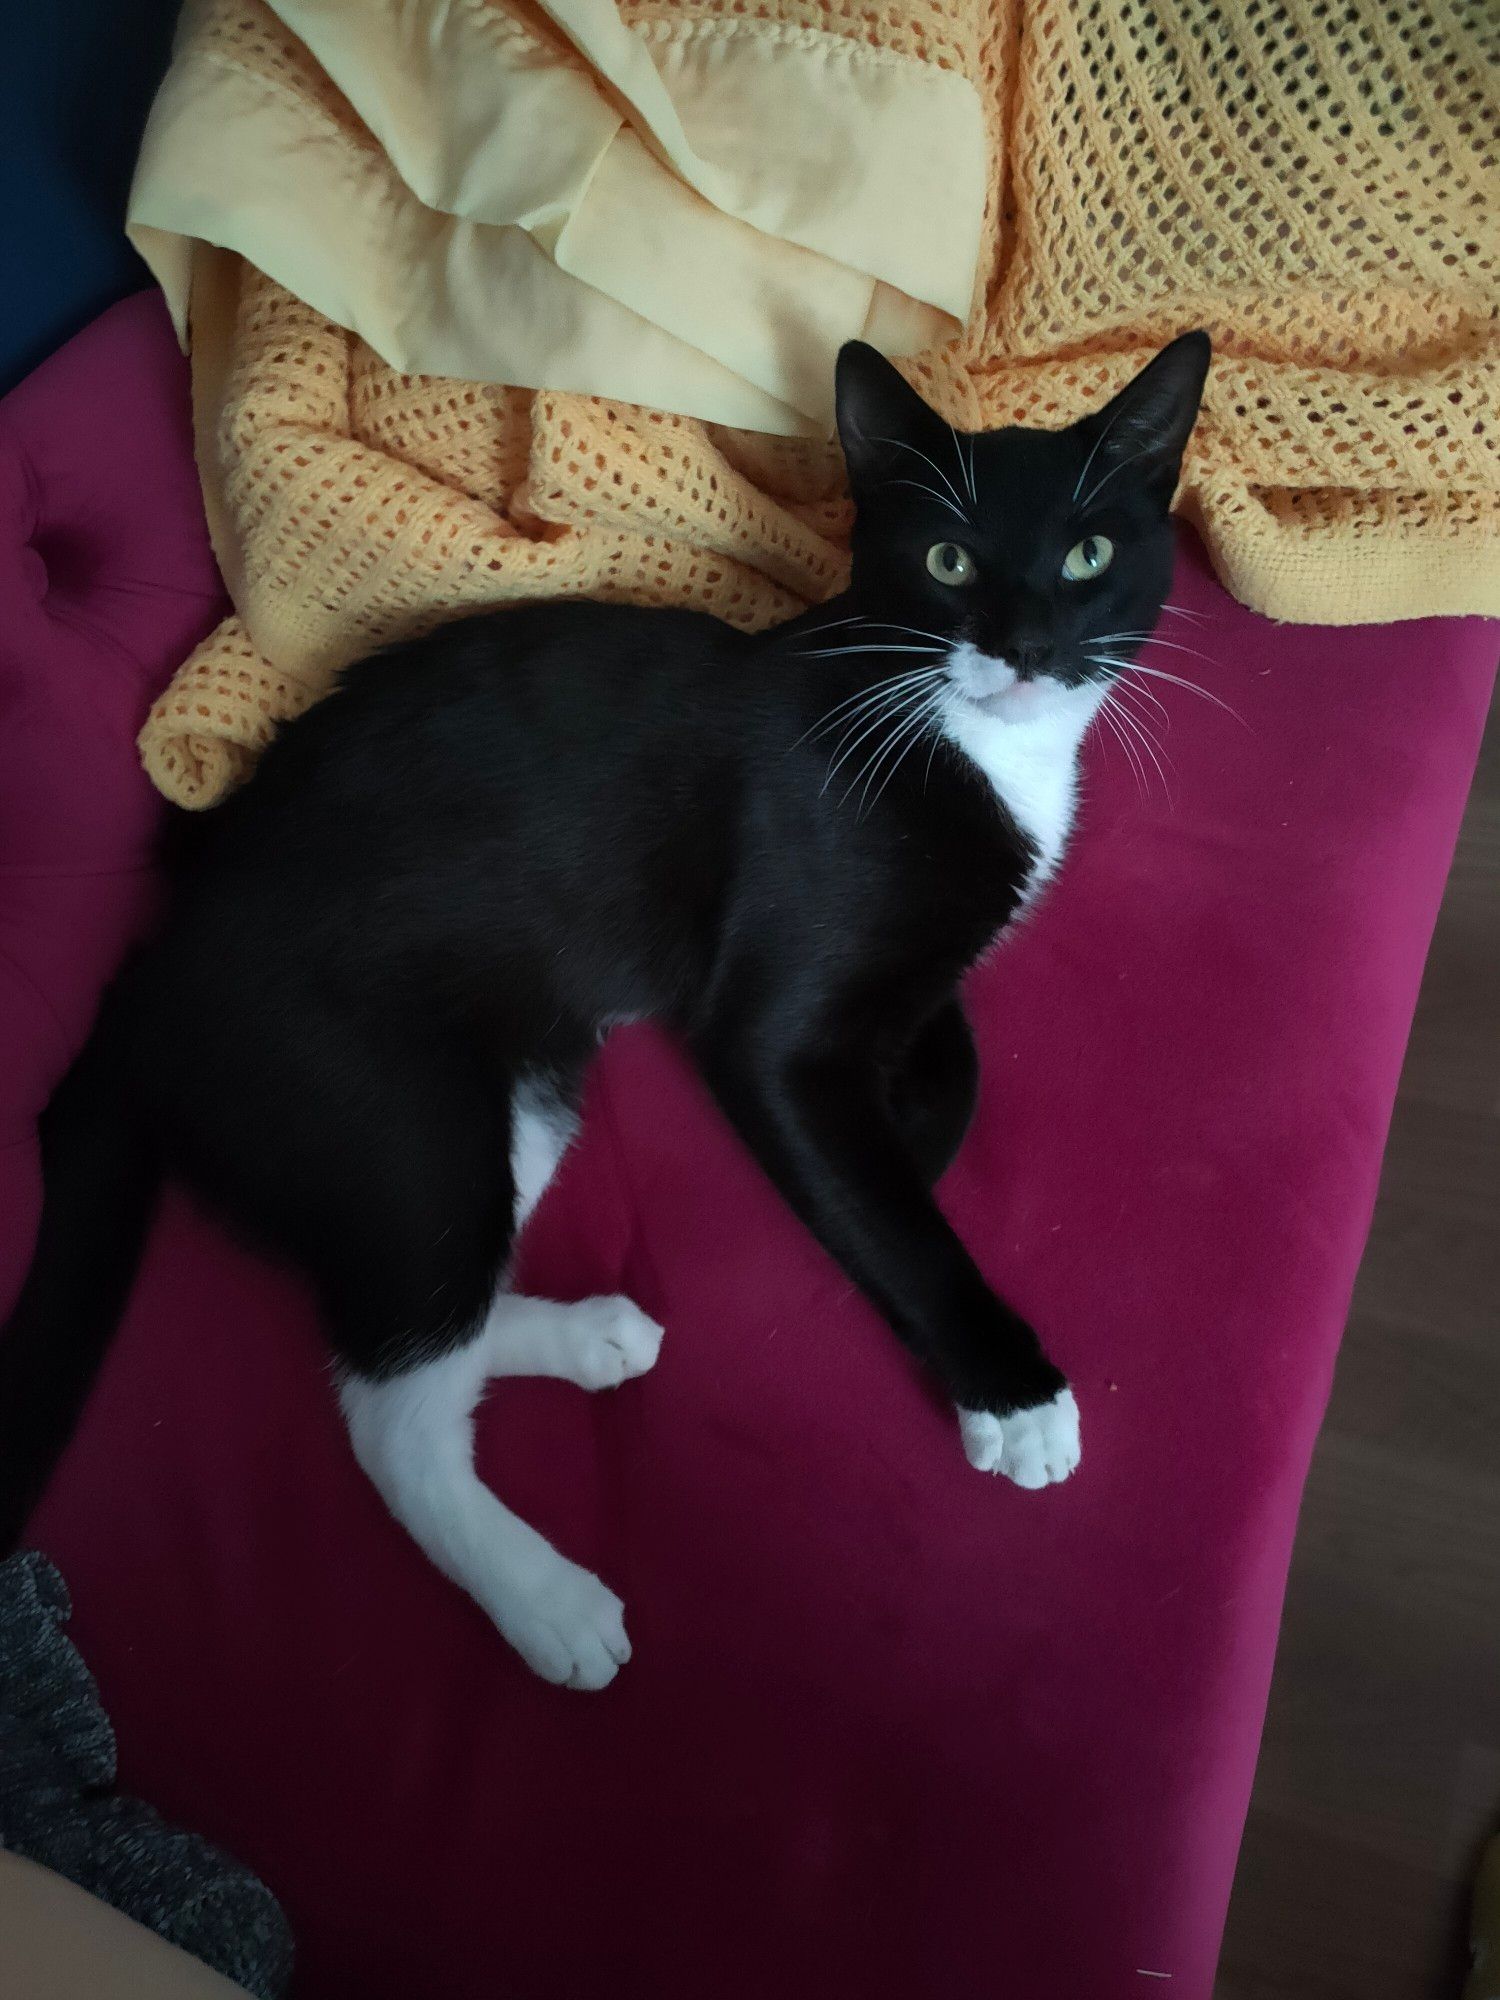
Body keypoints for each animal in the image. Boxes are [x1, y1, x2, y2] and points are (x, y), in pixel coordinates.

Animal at [0, 332, 1208, 1688]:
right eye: (948, 560)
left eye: (1087, 555)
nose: (1023, 643)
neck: (953, 738)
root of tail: (146, 973)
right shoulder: (771, 1018)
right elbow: (883, 1197)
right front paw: (1010, 1388)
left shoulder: (920, 971)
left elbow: (954, 1054)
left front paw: (921, 1138)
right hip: (398, 1114)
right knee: (391, 1405)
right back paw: (551, 1599)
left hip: (519, 1092)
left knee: (431, 1313)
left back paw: (590, 1338)